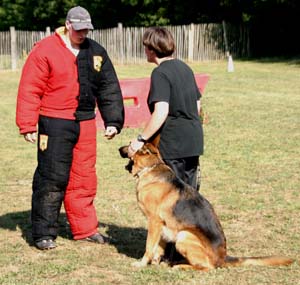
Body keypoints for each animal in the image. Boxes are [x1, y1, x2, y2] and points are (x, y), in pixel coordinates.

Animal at [118, 143, 294, 270]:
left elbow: (149, 247)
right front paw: (156, 263)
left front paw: (141, 264)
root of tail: (223, 258)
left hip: (184, 236)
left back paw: (181, 266)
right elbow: (159, 247)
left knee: (208, 267)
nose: (119, 148)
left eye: (130, 144)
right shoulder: (161, 226)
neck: (151, 168)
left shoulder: (154, 222)